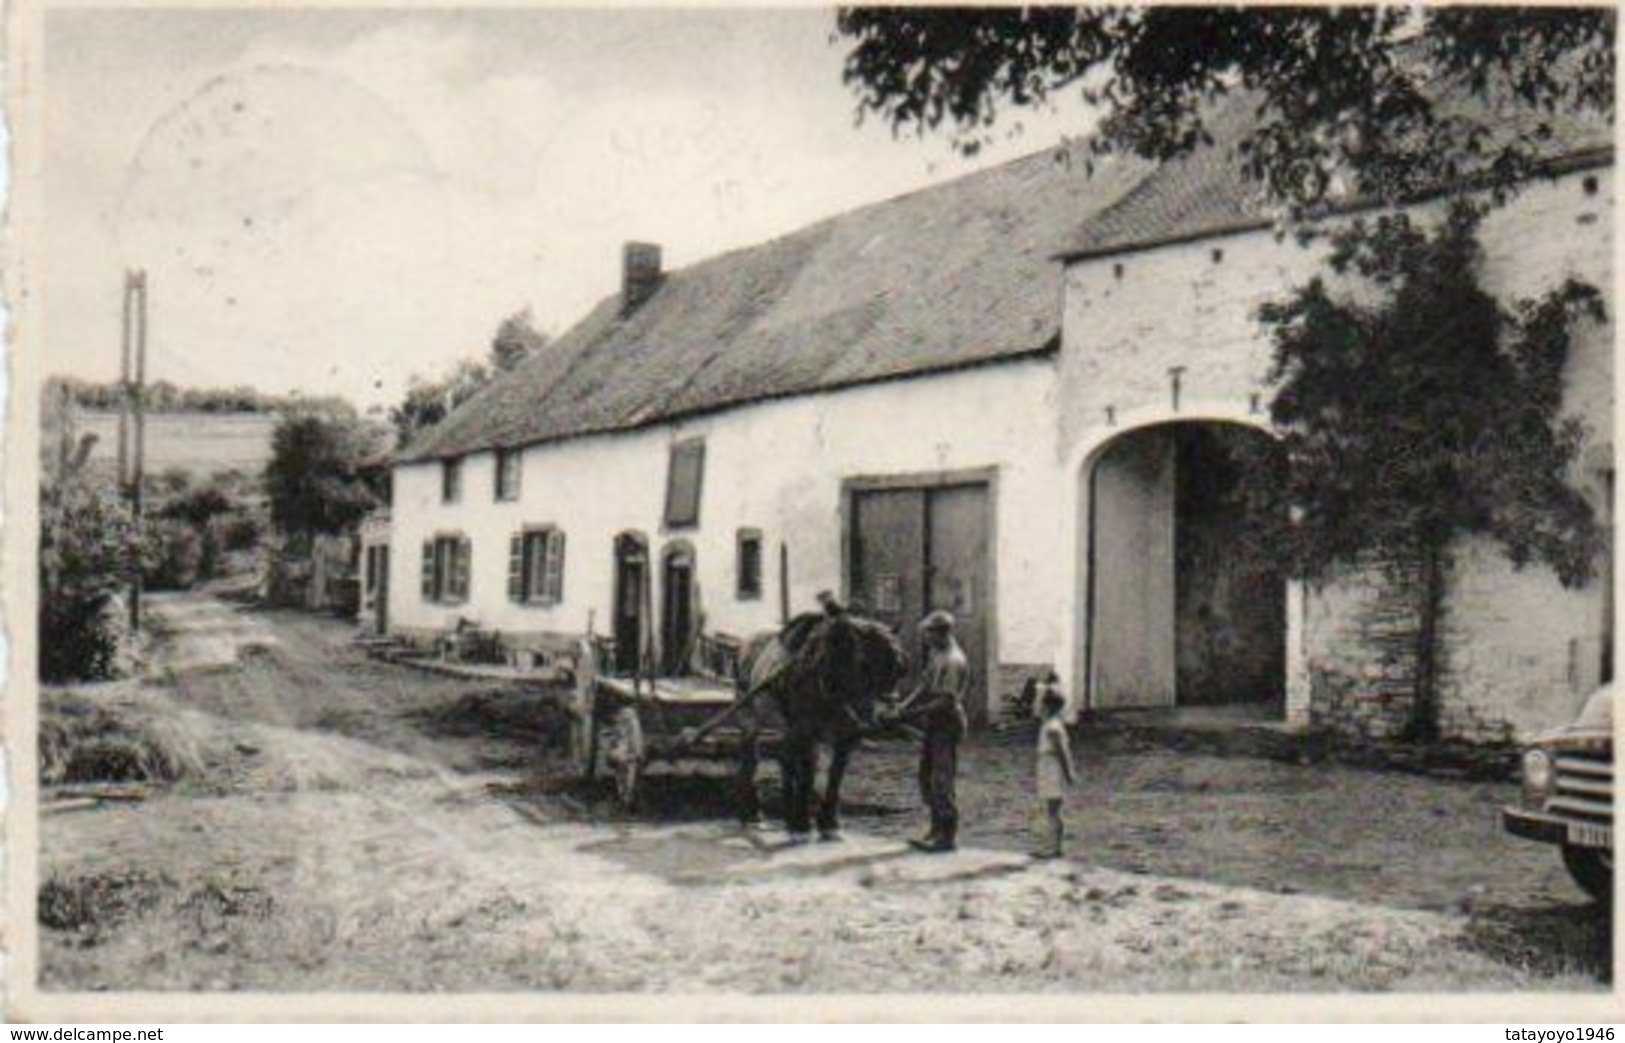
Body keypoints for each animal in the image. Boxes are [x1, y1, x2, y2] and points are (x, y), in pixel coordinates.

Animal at [734, 610, 910, 838]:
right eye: (864, 665)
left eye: (901, 668)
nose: (888, 716)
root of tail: (745, 643)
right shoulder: (807, 730)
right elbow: (809, 772)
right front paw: (802, 821)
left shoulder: (847, 735)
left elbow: (836, 774)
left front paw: (828, 820)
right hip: (750, 718)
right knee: (751, 760)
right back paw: (751, 813)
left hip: (788, 728)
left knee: (785, 758)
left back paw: (786, 811)